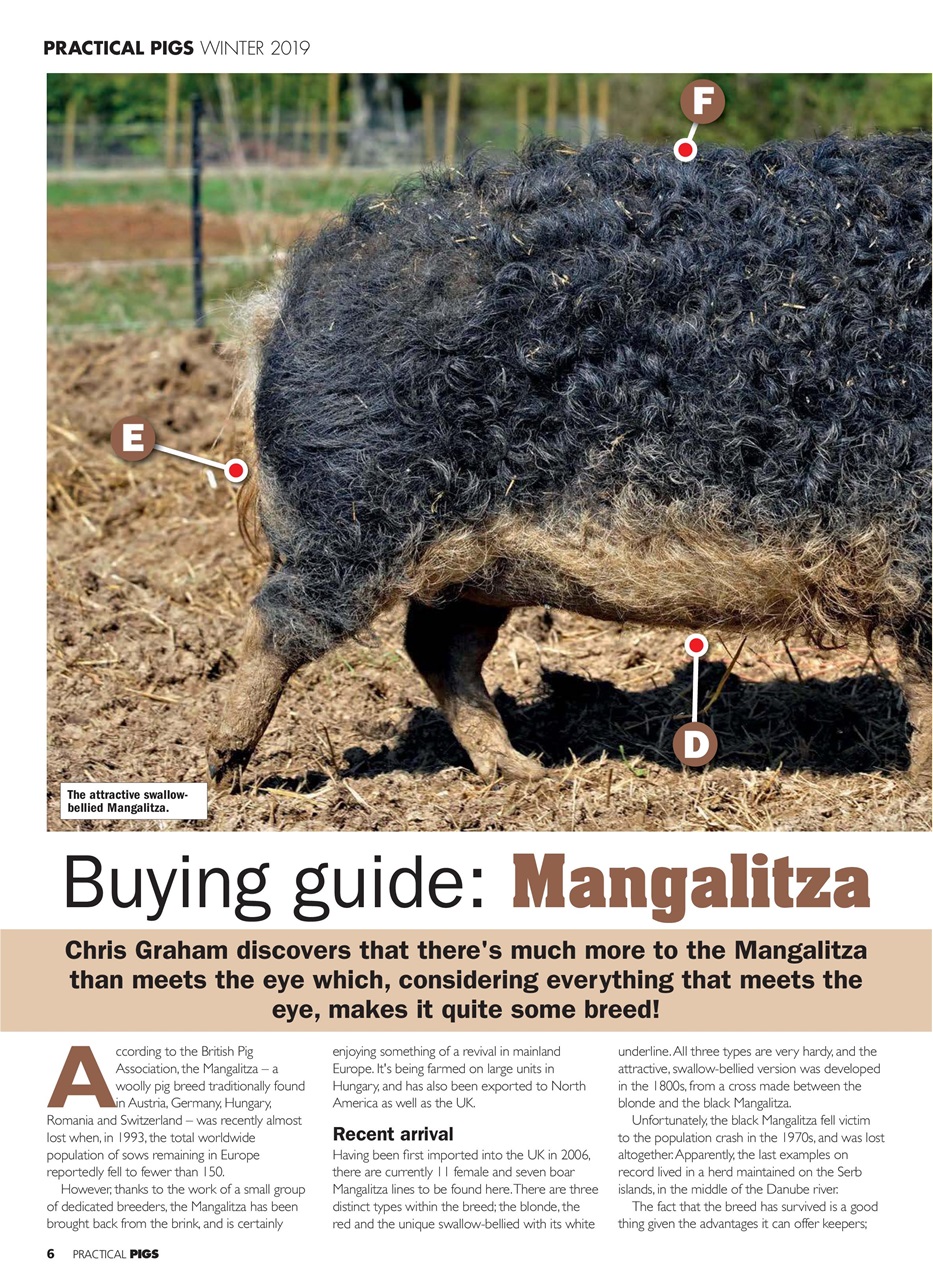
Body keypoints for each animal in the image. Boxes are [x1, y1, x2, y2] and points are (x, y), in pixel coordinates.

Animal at [208, 133, 931, 788]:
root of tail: (282, 301)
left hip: (473, 562)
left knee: (436, 646)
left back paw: (521, 772)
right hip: (355, 508)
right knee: (278, 622)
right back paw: (224, 768)